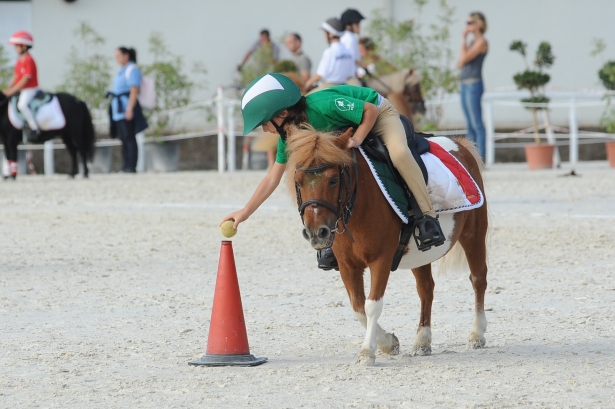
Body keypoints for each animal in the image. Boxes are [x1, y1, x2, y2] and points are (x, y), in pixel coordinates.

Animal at [286, 126, 488, 364]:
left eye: (334, 180)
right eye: (297, 181)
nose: (317, 232)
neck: (358, 204)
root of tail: (459, 144)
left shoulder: (380, 260)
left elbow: (372, 305)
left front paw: (368, 351)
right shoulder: (347, 266)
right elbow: (357, 307)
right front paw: (388, 343)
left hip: (474, 234)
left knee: (478, 279)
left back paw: (477, 334)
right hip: (421, 256)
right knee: (426, 289)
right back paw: (422, 341)